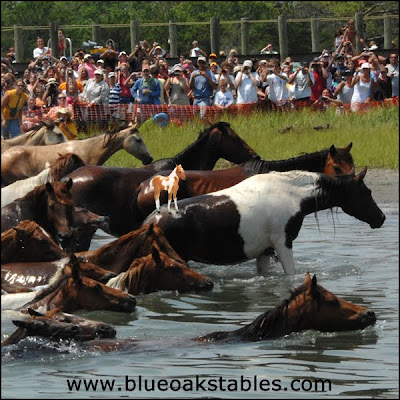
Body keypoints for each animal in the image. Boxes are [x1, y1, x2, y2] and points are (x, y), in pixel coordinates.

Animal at [144, 168, 384, 276]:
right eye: (367, 192)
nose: (381, 218)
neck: (291, 193)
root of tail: (151, 221)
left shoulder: (265, 251)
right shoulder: (282, 244)